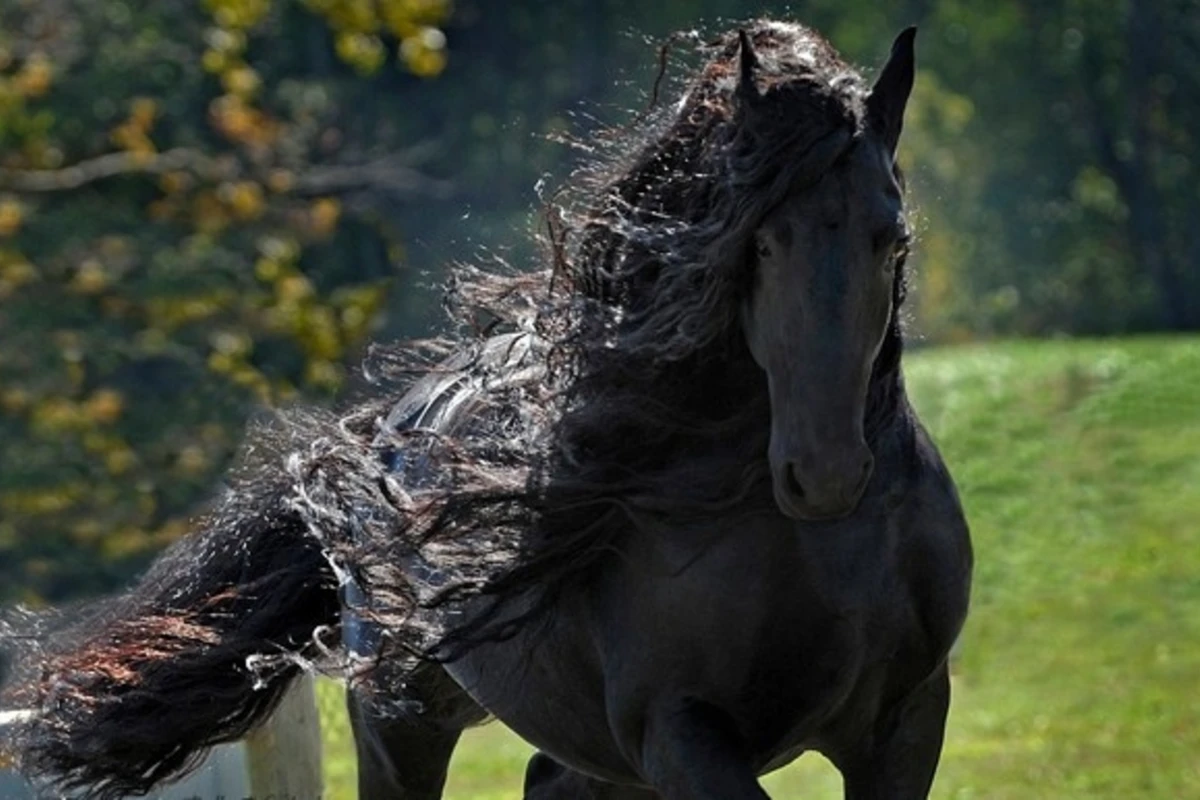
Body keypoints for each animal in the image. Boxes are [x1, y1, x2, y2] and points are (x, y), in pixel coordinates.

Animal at [0, 18, 969, 800]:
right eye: (762, 241)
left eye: (892, 240)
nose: (825, 472)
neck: (817, 551)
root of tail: (381, 437)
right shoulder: (681, 734)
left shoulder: (905, 724)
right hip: (402, 723)